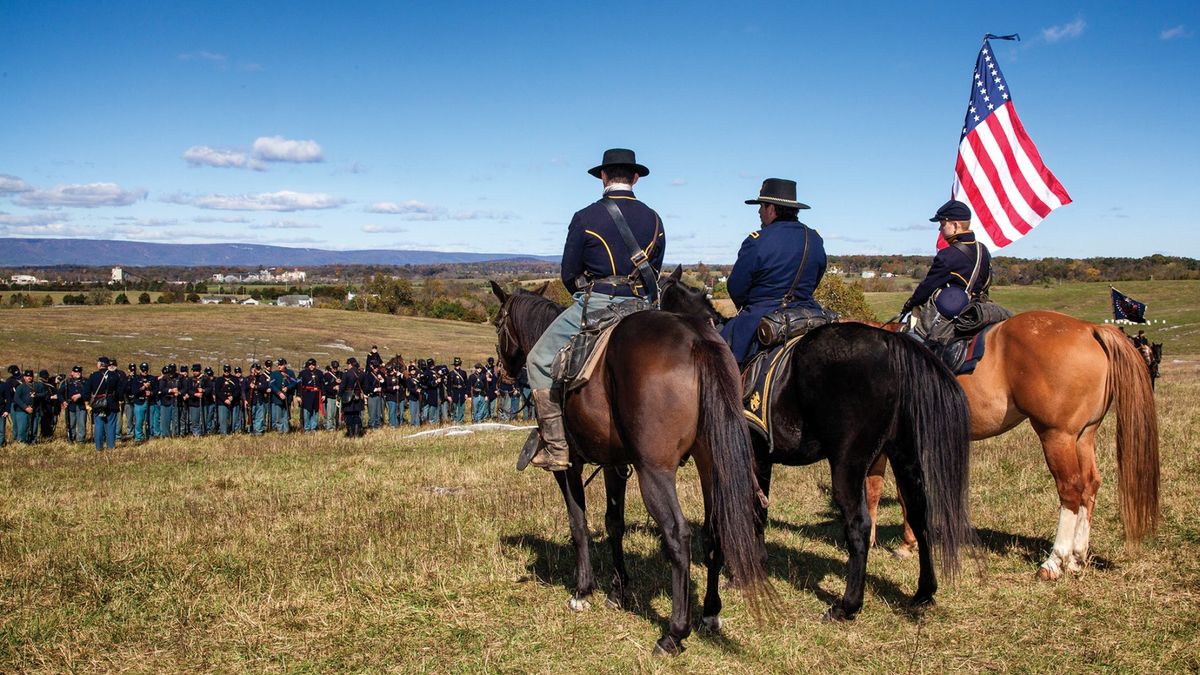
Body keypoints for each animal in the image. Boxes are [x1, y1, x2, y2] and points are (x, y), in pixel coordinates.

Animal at [868, 309, 1156, 578]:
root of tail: (1089, 329)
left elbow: (879, 491)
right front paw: (909, 543)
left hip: (1056, 436)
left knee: (1070, 489)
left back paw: (1054, 561)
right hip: (1084, 436)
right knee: (1089, 485)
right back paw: (1076, 557)